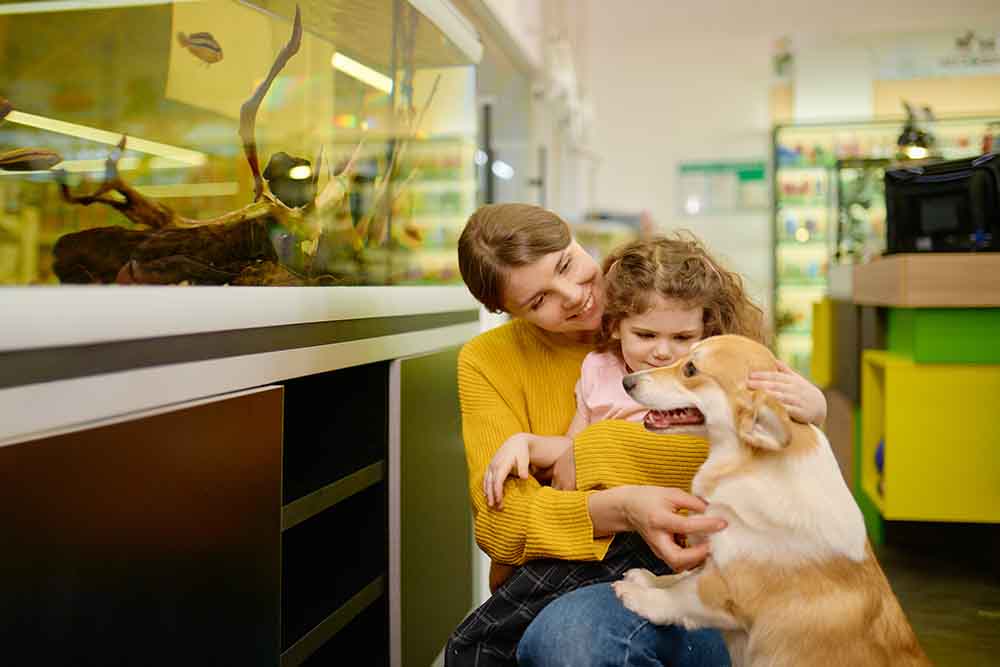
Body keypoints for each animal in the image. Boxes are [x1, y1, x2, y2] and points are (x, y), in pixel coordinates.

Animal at [612, 336, 932, 667]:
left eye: (690, 369)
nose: (626, 381)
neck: (745, 464)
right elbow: (681, 577)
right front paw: (648, 579)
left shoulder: (727, 591)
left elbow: (684, 595)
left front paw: (639, 595)